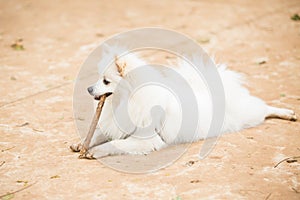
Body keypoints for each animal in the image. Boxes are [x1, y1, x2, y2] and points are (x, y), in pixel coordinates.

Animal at [71, 47, 298, 159]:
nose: (88, 89)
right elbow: (97, 134)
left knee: (264, 108)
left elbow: (114, 143)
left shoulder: (147, 140)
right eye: (98, 79)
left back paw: (287, 113)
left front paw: (94, 152)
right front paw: (81, 144)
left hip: (249, 115)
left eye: (106, 81)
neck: (127, 100)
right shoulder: (117, 127)